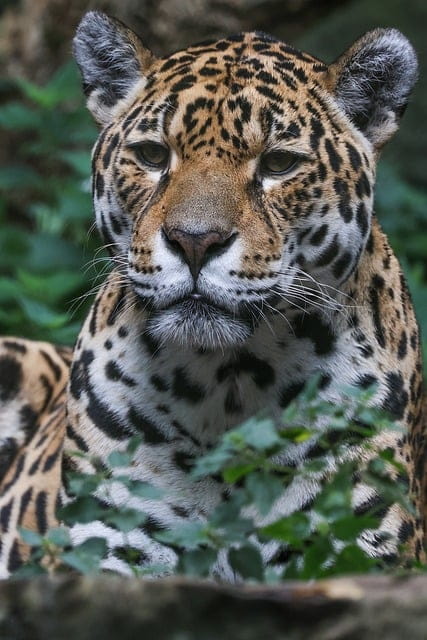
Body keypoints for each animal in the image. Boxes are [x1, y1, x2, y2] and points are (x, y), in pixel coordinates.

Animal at [0, 11, 425, 579]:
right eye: (152, 155)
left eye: (278, 164)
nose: (194, 241)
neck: (224, 385)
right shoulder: (106, 549)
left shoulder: (359, 551)